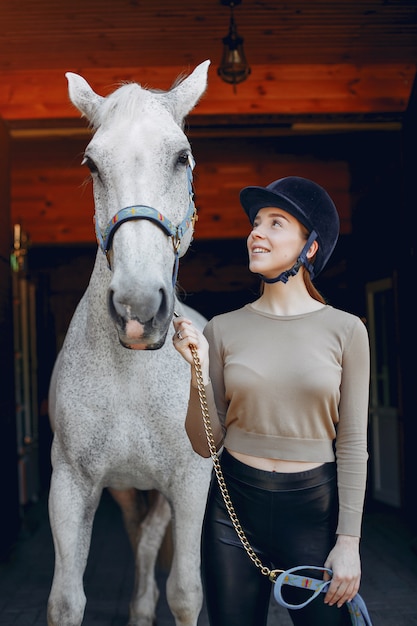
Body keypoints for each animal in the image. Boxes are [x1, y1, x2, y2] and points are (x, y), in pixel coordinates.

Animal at [47, 61, 213, 624]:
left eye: (182, 156)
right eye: (93, 164)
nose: (138, 309)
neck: (133, 377)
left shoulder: (189, 483)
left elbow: (185, 591)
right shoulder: (72, 484)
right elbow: (65, 599)